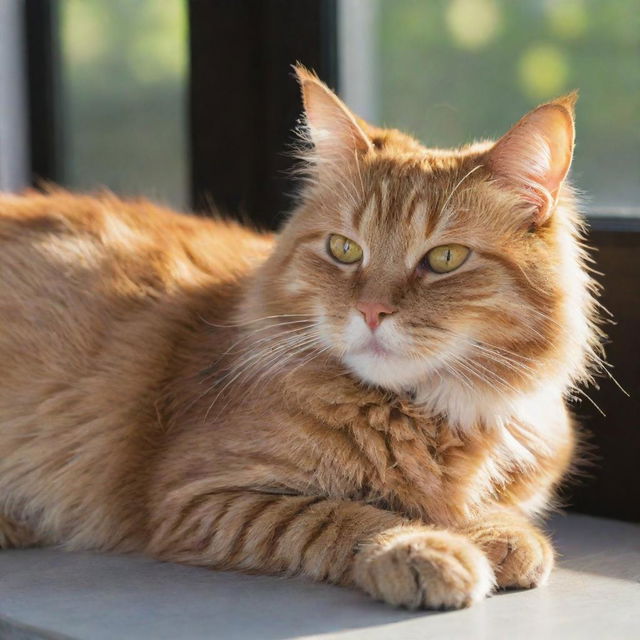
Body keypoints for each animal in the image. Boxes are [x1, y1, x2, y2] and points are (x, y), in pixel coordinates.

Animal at [0, 65, 600, 608]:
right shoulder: (199, 495)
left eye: (445, 259)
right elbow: (343, 516)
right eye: (344, 249)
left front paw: (494, 531)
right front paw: (422, 547)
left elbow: (478, 510)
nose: (372, 311)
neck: (426, 415)